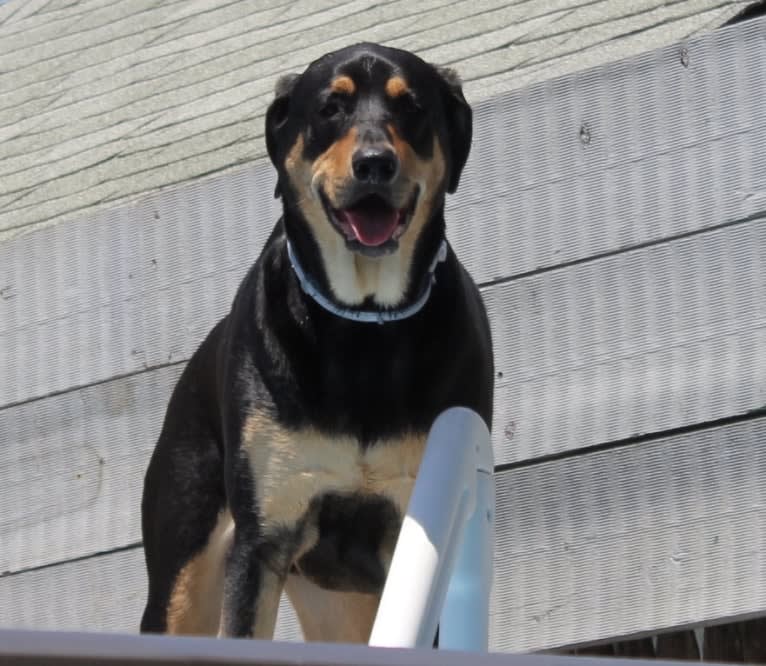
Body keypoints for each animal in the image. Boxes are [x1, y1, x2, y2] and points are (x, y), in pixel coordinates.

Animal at [140, 42, 496, 644]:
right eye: (331, 107)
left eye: (412, 107)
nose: (374, 162)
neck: (363, 323)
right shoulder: (262, 542)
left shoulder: (414, 525)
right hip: (183, 578)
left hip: (340, 603)